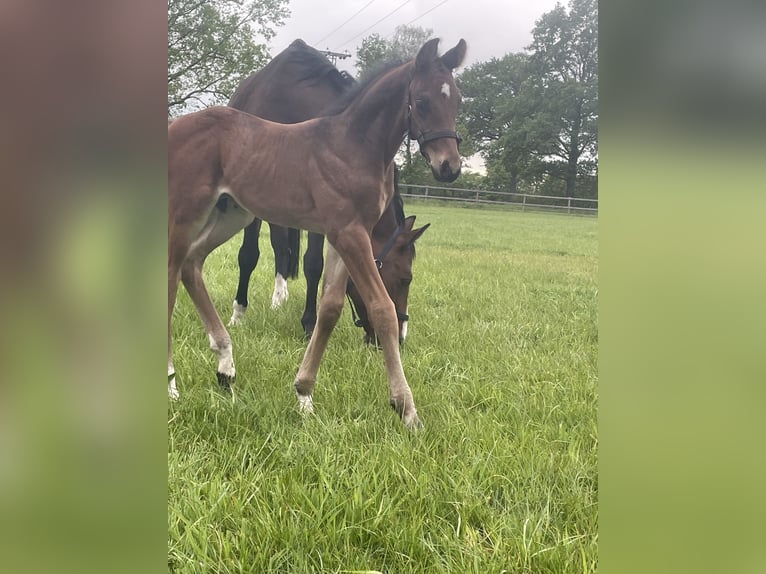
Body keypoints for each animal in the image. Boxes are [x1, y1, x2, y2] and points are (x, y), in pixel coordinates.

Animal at [224, 40, 429, 344]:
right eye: (406, 278)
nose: (399, 337)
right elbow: (248, 254)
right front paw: (238, 314)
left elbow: (313, 264)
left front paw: (310, 323)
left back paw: (279, 297)